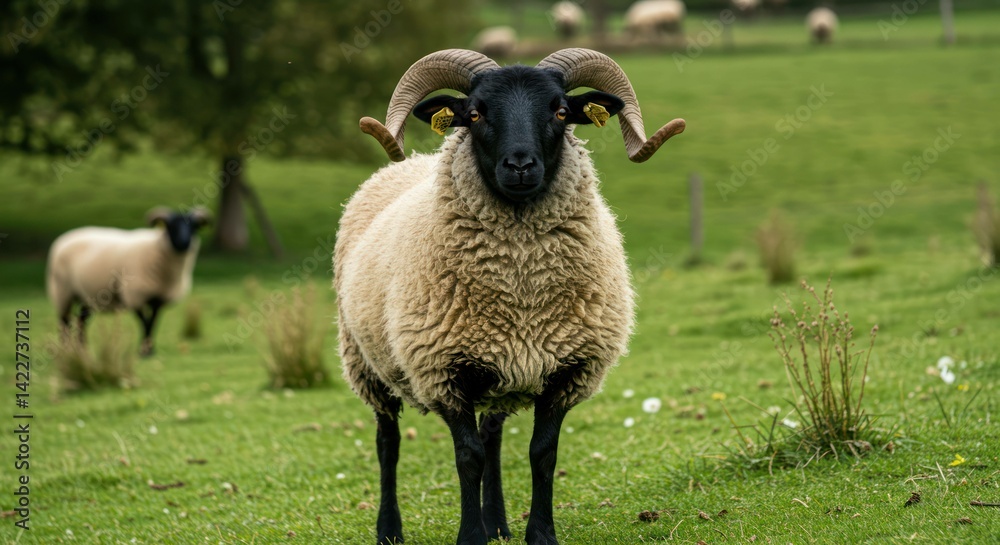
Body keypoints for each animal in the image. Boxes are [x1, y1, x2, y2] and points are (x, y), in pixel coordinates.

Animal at [47, 207, 210, 356]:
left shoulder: (158, 299)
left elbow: (153, 322)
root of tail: (63, 238)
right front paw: (145, 351)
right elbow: (144, 322)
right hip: (62, 290)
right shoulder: (134, 295)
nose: (184, 243)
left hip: (87, 294)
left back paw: (83, 350)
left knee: (81, 320)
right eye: (171, 226)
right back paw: (66, 351)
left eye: (194, 226)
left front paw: (150, 349)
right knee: (64, 322)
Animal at [347, 48, 685, 545]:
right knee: (387, 442)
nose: (521, 166)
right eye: (474, 114)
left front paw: (539, 534)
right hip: (366, 363)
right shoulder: (444, 372)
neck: (522, 291)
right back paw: (390, 530)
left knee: (492, 434)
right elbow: (467, 459)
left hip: (499, 370)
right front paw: (470, 536)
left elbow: (541, 454)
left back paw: (498, 522)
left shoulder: (567, 371)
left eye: (561, 112)